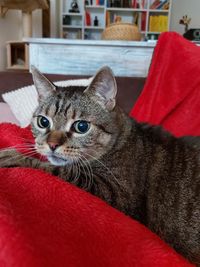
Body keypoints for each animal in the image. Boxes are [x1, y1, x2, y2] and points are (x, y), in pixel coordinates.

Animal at [0, 66, 200, 266]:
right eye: (43, 122)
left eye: (81, 126)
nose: (52, 145)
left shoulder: (115, 193)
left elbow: (57, 169)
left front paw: (12, 155)